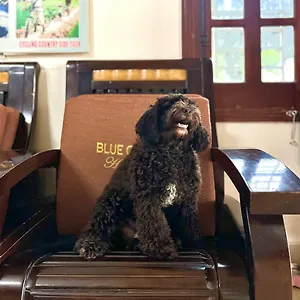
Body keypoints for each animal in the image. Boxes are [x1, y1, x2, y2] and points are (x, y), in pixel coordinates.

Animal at [74, 94, 209, 260]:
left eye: (192, 104)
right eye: (169, 104)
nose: (188, 110)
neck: (172, 152)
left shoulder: (188, 199)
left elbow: (189, 223)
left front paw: (194, 244)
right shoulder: (148, 198)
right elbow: (155, 223)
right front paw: (161, 248)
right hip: (110, 202)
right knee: (96, 226)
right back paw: (90, 244)